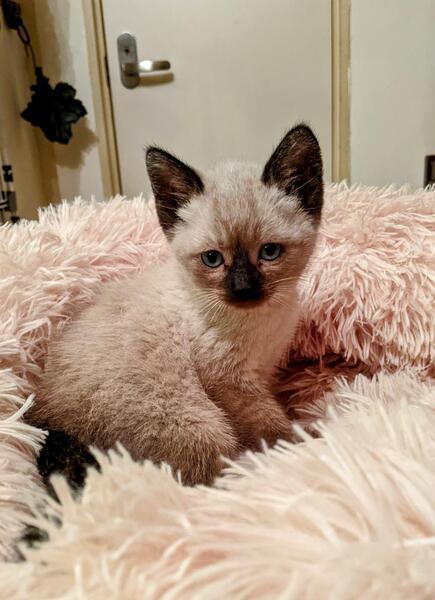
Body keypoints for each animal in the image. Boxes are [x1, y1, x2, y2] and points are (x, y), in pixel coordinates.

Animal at [28, 123, 323, 486]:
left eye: (269, 252)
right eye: (212, 259)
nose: (243, 290)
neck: (261, 322)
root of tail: (43, 417)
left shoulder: (263, 371)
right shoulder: (231, 385)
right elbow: (273, 426)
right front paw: (306, 440)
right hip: (201, 427)